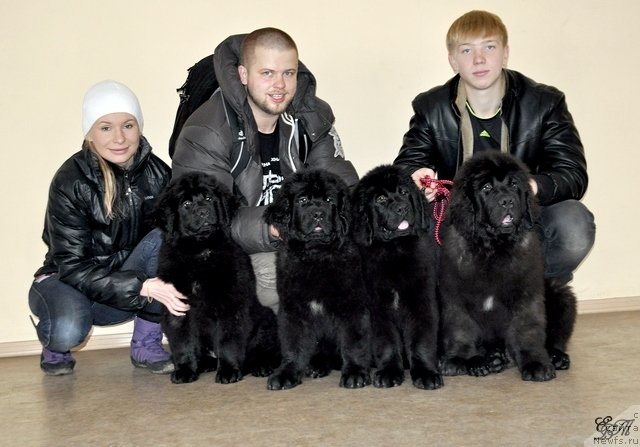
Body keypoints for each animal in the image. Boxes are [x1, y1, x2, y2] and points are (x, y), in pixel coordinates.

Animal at [155, 172, 280, 384]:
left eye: (209, 198)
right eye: (186, 204)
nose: (203, 212)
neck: (201, 252)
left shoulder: (230, 304)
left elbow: (227, 341)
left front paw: (228, 371)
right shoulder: (177, 307)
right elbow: (183, 342)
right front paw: (185, 370)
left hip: (265, 321)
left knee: (264, 350)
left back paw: (261, 366)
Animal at [264, 170, 372, 390]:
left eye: (329, 200)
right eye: (303, 200)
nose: (318, 214)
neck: (316, 254)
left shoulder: (352, 304)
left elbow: (353, 341)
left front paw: (355, 373)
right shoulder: (293, 307)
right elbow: (293, 343)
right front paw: (287, 373)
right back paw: (317, 366)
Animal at [350, 165, 444, 392]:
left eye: (404, 193)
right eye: (381, 199)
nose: (402, 208)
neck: (395, 251)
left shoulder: (421, 302)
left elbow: (421, 341)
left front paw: (426, 373)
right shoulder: (378, 308)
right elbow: (386, 343)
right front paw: (388, 373)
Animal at [438, 152, 576, 384]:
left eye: (513, 185)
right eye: (486, 187)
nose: (507, 201)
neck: (493, 247)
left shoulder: (525, 293)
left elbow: (526, 330)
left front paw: (536, 364)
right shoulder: (455, 294)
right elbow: (460, 328)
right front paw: (458, 359)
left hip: (560, 294)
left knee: (555, 336)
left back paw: (555, 357)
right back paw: (492, 359)